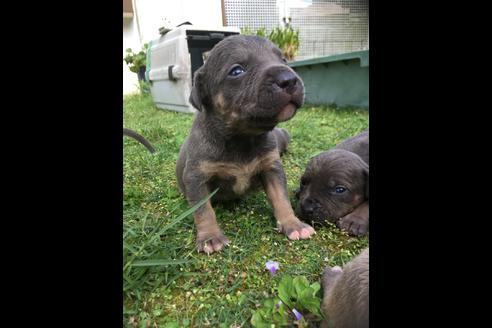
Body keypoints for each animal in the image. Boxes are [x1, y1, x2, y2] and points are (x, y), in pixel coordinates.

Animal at [177, 36, 316, 256]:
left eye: (283, 60)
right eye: (236, 71)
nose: (289, 79)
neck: (242, 137)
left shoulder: (271, 168)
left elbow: (281, 198)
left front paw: (292, 224)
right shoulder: (196, 177)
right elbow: (203, 210)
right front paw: (210, 237)